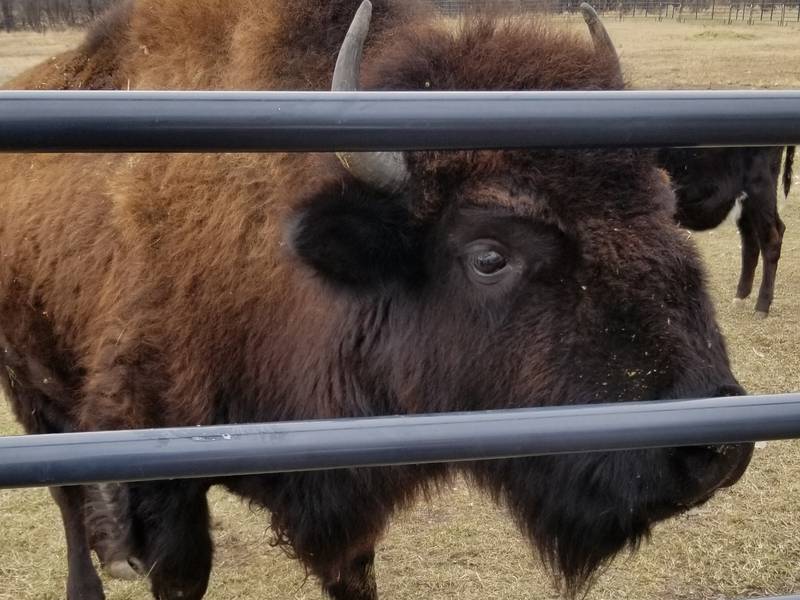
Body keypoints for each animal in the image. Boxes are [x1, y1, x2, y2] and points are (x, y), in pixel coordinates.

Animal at [0, 1, 752, 600]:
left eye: (665, 207)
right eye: (489, 255)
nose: (713, 451)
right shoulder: (163, 484)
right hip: (35, 397)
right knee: (66, 498)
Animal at [656, 145, 792, 316]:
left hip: (761, 186)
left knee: (771, 239)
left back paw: (762, 306)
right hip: (745, 200)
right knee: (752, 239)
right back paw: (740, 297)